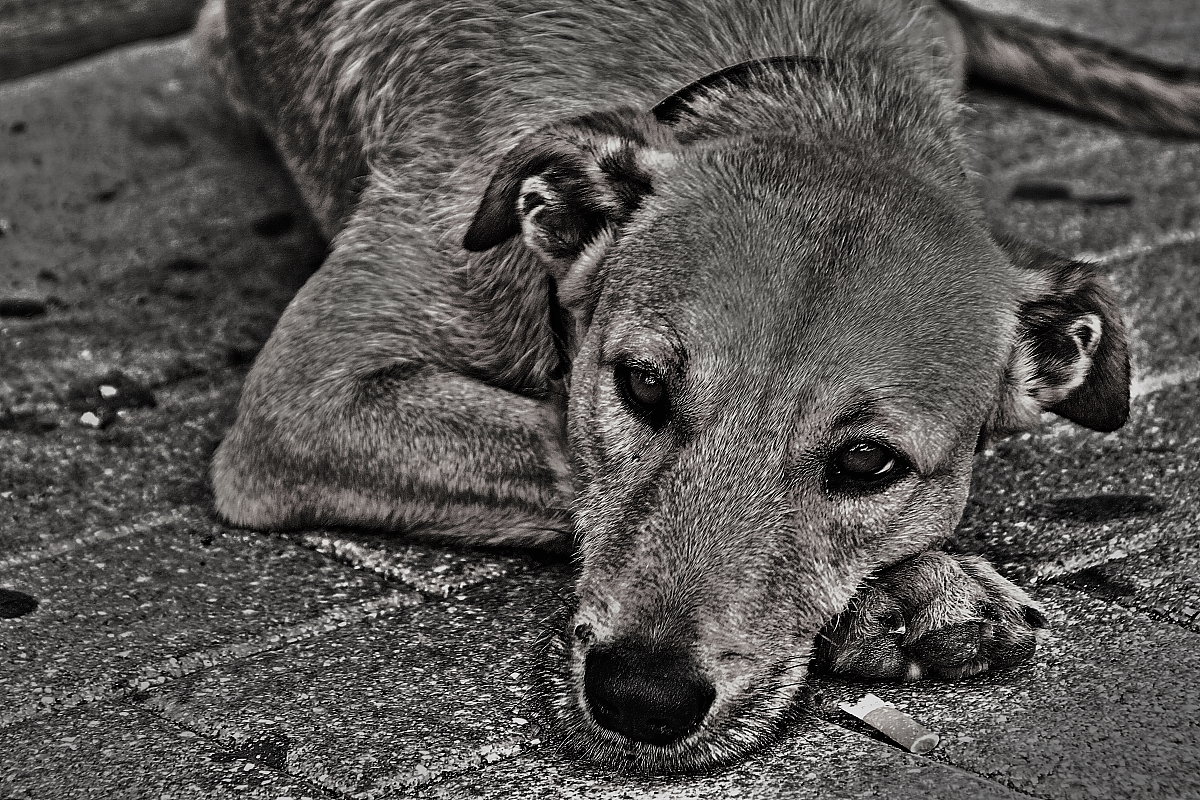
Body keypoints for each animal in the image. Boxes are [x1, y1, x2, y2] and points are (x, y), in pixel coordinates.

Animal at [192, 0, 1195, 777]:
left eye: (868, 462)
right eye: (640, 385)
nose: (642, 701)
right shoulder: (308, 396)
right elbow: (554, 449)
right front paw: (906, 594)